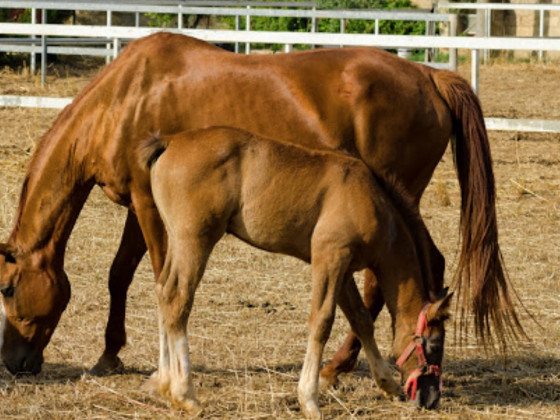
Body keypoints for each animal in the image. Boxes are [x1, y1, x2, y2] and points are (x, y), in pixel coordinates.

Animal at [0, 32, 520, 378]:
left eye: (7, 288)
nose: (13, 363)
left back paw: (336, 367)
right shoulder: (137, 203)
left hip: (395, 198)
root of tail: (430, 75)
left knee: (386, 280)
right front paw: (109, 355)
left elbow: (157, 274)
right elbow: (120, 275)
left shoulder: (149, 205)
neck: (126, 96)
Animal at [139, 126, 456, 416]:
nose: (431, 398)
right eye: (435, 344)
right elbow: (322, 322)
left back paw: (165, 382)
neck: (372, 199)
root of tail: (170, 141)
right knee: (178, 299)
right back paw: (185, 394)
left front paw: (387, 383)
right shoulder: (330, 258)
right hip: (195, 241)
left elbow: (361, 320)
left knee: (162, 291)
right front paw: (309, 399)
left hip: (177, 241)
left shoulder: (343, 270)